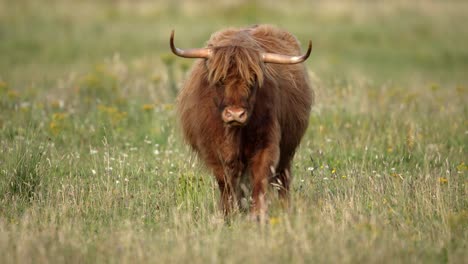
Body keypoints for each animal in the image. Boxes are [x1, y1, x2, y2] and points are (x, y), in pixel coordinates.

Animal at [170, 24, 312, 221]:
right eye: (220, 79)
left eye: (252, 79)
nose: (235, 114)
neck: (234, 134)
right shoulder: (213, 151)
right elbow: (226, 183)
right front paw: (228, 214)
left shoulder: (266, 144)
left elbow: (260, 178)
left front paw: (257, 215)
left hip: (288, 149)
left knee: (283, 179)